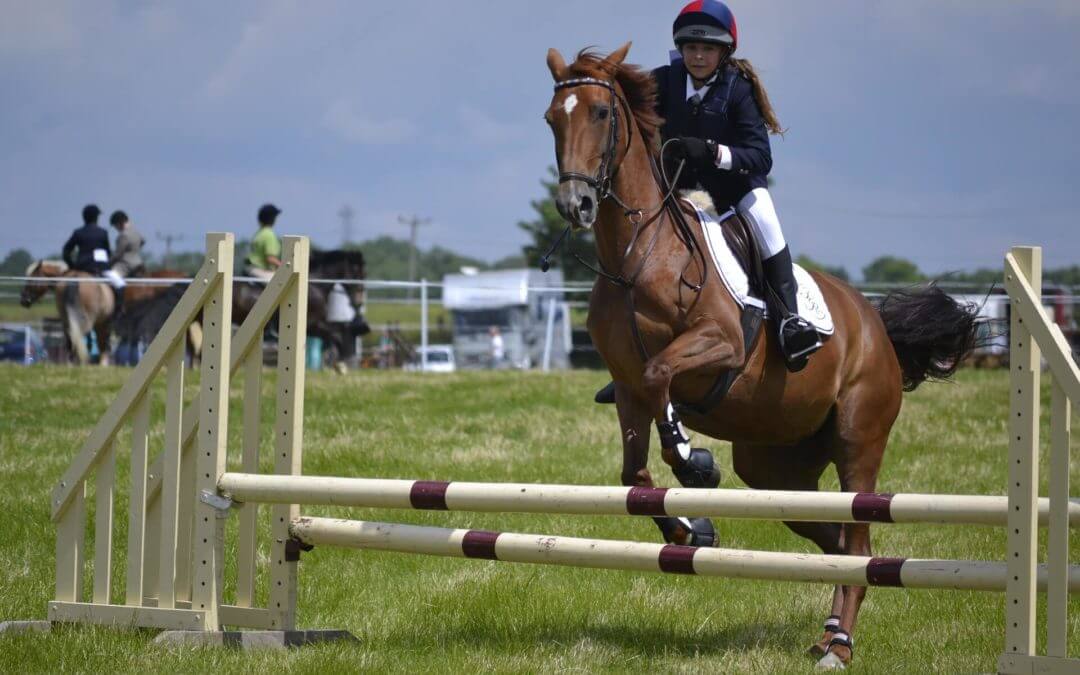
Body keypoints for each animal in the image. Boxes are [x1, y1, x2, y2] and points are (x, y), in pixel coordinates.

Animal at [544, 43, 984, 669]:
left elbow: (662, 376)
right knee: (835, 538)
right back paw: (830, 627)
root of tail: (875, 325)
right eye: (552, 119)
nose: (575, 204)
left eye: (603, 114)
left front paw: (694, 461)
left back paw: (839, 645)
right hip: (775, 464)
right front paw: (691, 532)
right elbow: (636, 473)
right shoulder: (625, 386)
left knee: (859, 536)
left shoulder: (718, 344)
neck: (638, 255)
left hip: (857, 439)